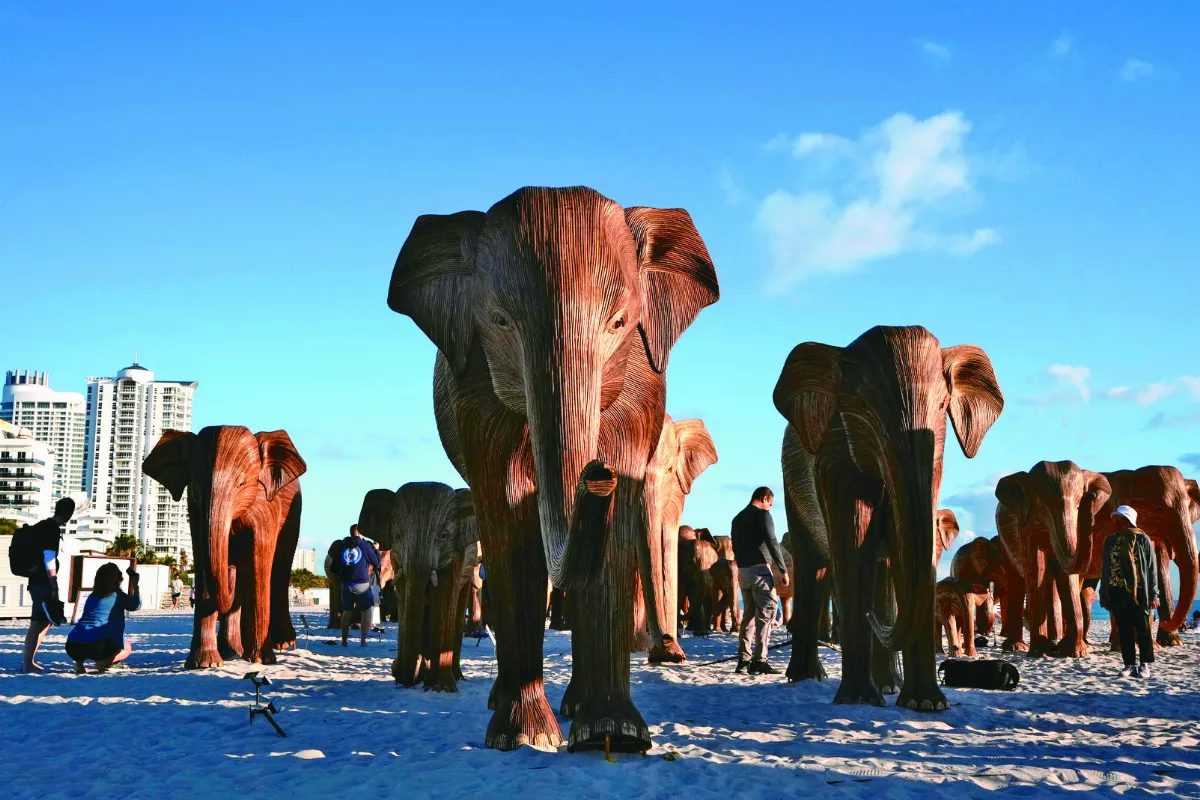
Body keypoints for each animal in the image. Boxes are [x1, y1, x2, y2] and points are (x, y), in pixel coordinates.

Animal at [142, 426, 306, 669]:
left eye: (241, 484)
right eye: (196, 487)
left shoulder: (267, 507)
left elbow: (259, 566)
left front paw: (262, 661)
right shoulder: (196, 511)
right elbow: (203, 562)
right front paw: (204, 664)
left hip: (293, 516)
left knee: (278, 570)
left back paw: (280, 645)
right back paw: (233, 653)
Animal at [774, 325, 1004, 711]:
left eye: (943, 406)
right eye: (863, 408)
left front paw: (927, 705)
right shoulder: (834, 458)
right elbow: (853, 553)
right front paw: (857, 701)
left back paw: (888, 685)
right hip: (791, 485)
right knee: (814, 568)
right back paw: (807, 678)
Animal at [994, 461, 1111, 659]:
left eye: (1078, 506)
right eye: (1042, 508)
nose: (1090, 495)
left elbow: (1066, 577)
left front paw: (1075, 653)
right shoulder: (1026, 524)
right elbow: (1036, 568)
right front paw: (1039, 652)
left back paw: (1054, 642)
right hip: (1003, 541)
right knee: (1017, 581)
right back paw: (1016, 647)